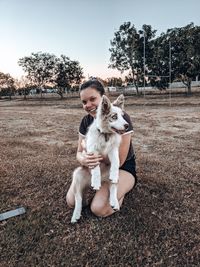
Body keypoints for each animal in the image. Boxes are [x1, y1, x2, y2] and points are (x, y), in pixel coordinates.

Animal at [71, 94, 129, 224]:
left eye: (123, 116)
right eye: (114, 116)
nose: (127, 125)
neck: (105, 135)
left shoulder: (113, 150)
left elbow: (116, 162)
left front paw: (113, 174)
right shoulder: (92, 151)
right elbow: (96, 168)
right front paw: (96, 181)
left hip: (112, 179)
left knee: (113, 188)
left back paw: (114, 202)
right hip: (77, 175)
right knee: (78, 198)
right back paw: (76, 215)